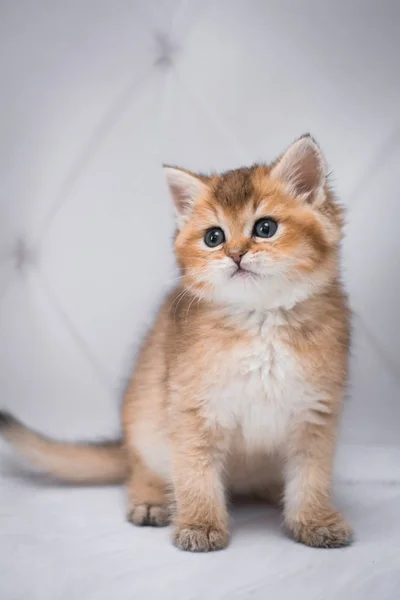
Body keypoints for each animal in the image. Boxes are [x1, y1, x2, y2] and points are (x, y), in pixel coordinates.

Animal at [0, 136, 352, 552]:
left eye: (265, 228)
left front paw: (316, 521)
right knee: (141, 469)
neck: (261, 321)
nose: (236, 254)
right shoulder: (192, 409)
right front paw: (200, 524)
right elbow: (194, 472)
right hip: (145, 424)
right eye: (214, 237)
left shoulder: (315, 413)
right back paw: (151, 499)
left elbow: (311, 476)